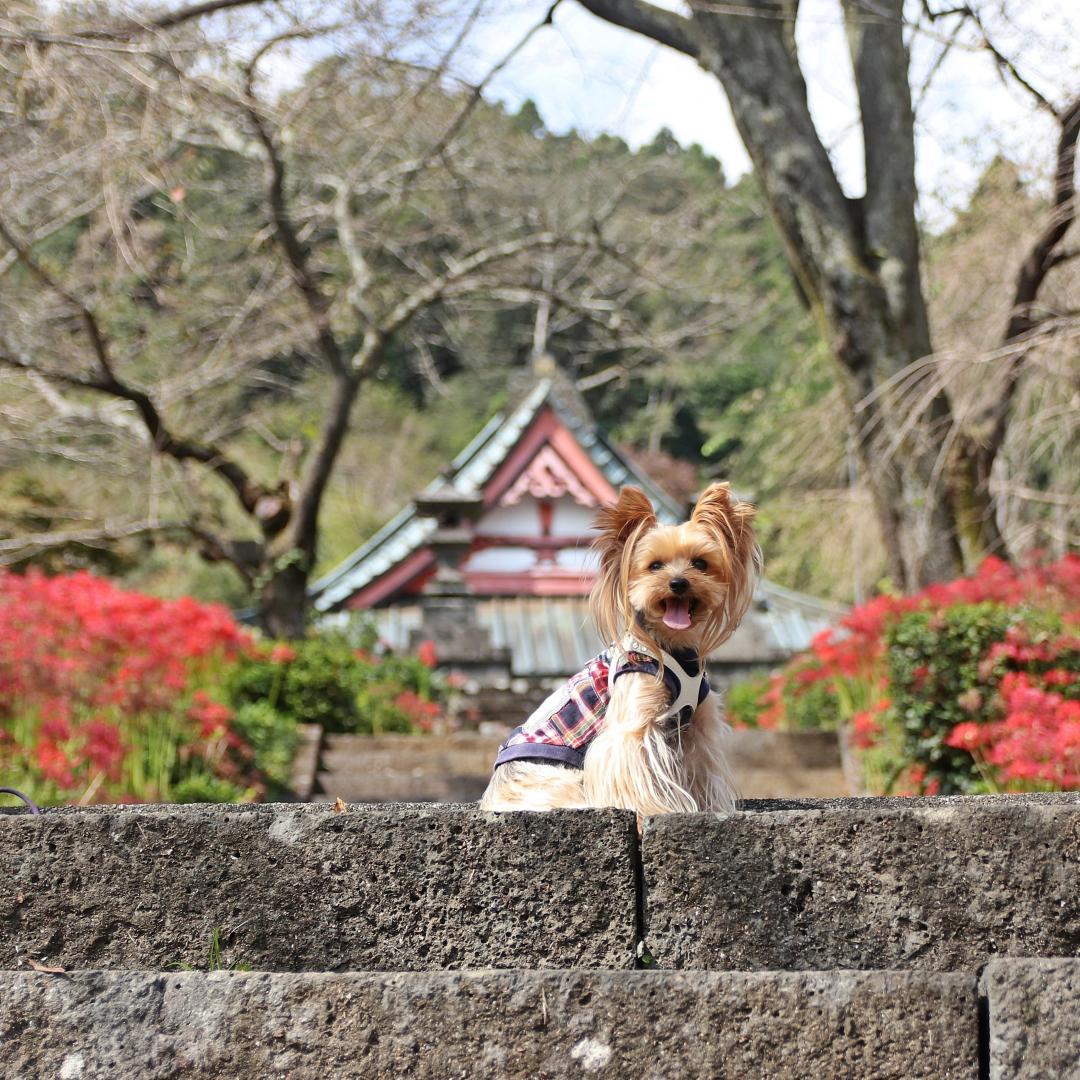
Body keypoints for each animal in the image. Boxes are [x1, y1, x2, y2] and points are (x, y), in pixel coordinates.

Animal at [481, 486, 760, 812]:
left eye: (700, 563)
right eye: (655, 566)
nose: (678, 583)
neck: (674, 648)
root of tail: (491, 797)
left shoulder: (699, 728)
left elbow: (703, 771)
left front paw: (710, 809)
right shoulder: (633, 724)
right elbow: (633, 770)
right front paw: (653, 811)